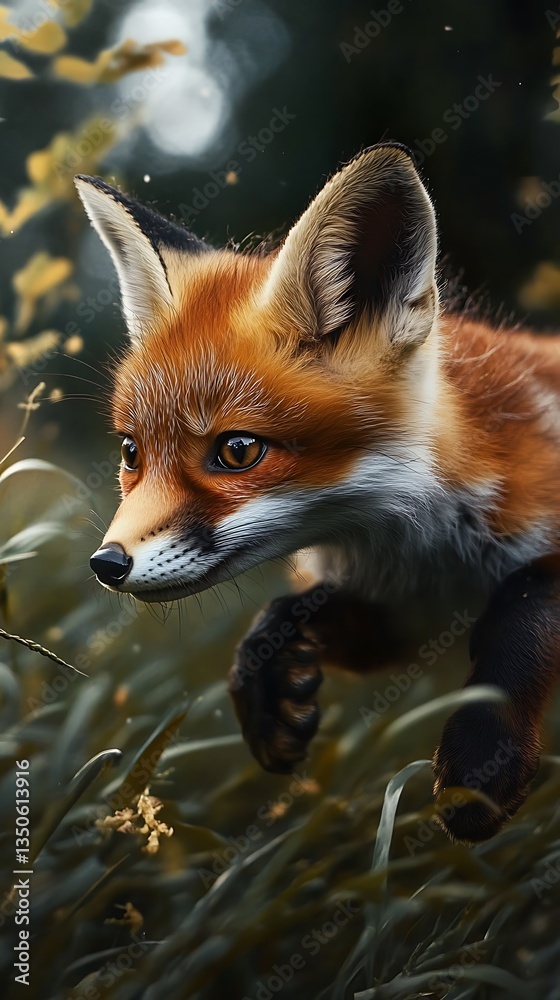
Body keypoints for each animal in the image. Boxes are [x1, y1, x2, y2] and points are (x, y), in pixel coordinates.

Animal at [75, 143, 560, 845]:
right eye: (131, 453)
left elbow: (523, 606)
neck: (426, 550)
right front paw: (266, 697)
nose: (106, 564)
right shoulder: (411, 615)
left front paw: (481, 761)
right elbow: (283, 616)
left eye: (238, 451)